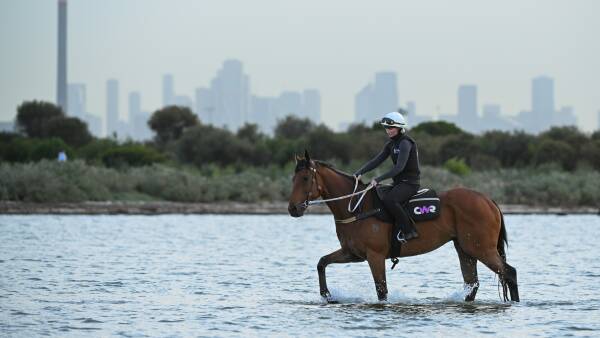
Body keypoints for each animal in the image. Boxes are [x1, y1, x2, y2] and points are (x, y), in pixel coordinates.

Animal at [288, 151, 520, 304]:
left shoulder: (375, 256)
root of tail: (488, 200)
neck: (356, 207)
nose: (293, 208)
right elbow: (322, 263)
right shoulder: (352, 253)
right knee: (473, 283)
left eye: (306, 178)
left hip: (481, 249)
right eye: (293, 178)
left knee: (509, 273)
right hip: (465, 250)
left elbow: (381, 290)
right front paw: (326, 295)